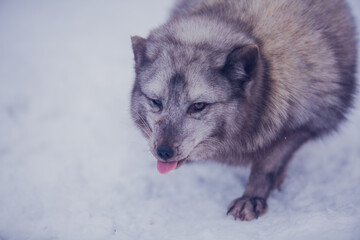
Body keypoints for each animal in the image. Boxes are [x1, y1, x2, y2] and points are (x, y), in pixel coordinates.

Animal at [129, 0, 358, 221]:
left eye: (199, 106)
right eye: (156, 102)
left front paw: (252, 198)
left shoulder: (302, 125)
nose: (163, 151)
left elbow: (267, 165)